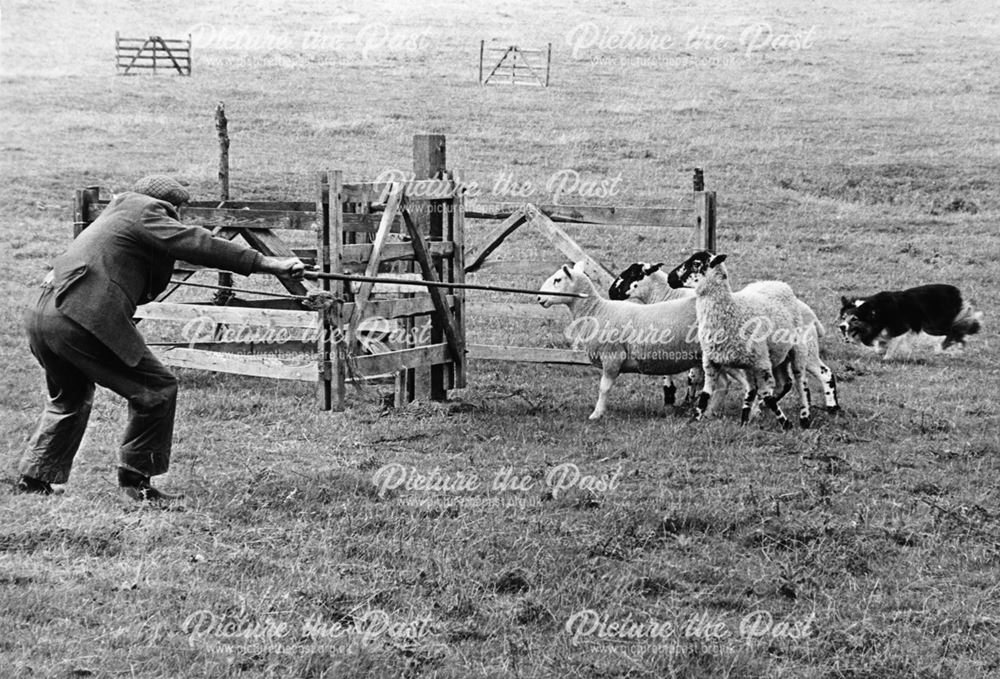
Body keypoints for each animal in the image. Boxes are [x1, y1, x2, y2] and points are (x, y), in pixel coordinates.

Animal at [540, 264, 704, 420]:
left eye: (557, 280)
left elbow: (604, 388)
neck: (596, 311)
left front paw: (597, 414)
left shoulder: (612, 356)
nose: (539, 299)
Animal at [604, 260, 840, 412]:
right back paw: (765, 404)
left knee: (825, 373)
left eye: (633, 274)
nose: (611, 292)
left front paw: (685, 401)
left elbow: (691, 377)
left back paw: (832, 407)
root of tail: (810, 313)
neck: (667, 295)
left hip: (805, 350)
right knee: (788, 382)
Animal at [660, 250, 816, 430]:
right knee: (773, 385)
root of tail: (778, 283)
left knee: (800, 383)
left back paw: (804, 418)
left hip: (796, 349)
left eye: (696, 264)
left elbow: (767, 395)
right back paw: (746, 418)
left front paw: (786, 424)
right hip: (770, 357)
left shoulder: (761, 363)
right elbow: (705, 395)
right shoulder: (711, 362)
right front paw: (695, 419)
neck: (733, 309)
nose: (670, 277)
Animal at [836, 284, 984, 362]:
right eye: (843, 317)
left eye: (854, 319)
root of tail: (955, 291)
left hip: (934, 325)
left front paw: (886, 358)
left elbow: (891, 345)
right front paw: (880, 350)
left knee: (959, 327)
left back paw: (944, 346)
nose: (841, 327)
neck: (875, 312)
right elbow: (880, 344)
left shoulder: (900, 328)